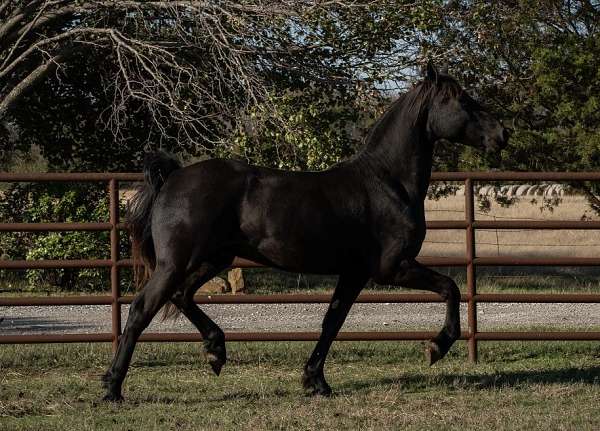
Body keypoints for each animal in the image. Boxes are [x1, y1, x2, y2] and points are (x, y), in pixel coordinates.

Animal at [102, 64, 506, 402]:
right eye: (462, 100)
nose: (501, 134)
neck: (387, 182)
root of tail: (172, 176)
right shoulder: (393, 268)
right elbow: (451, 288)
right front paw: (436, 347)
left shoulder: (354, 273)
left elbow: (332, 322)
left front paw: (316, 381)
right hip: (178, 262)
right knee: (142, 309)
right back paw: (112, 388)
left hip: (213, 259)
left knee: (181, 296)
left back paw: (216, 352)